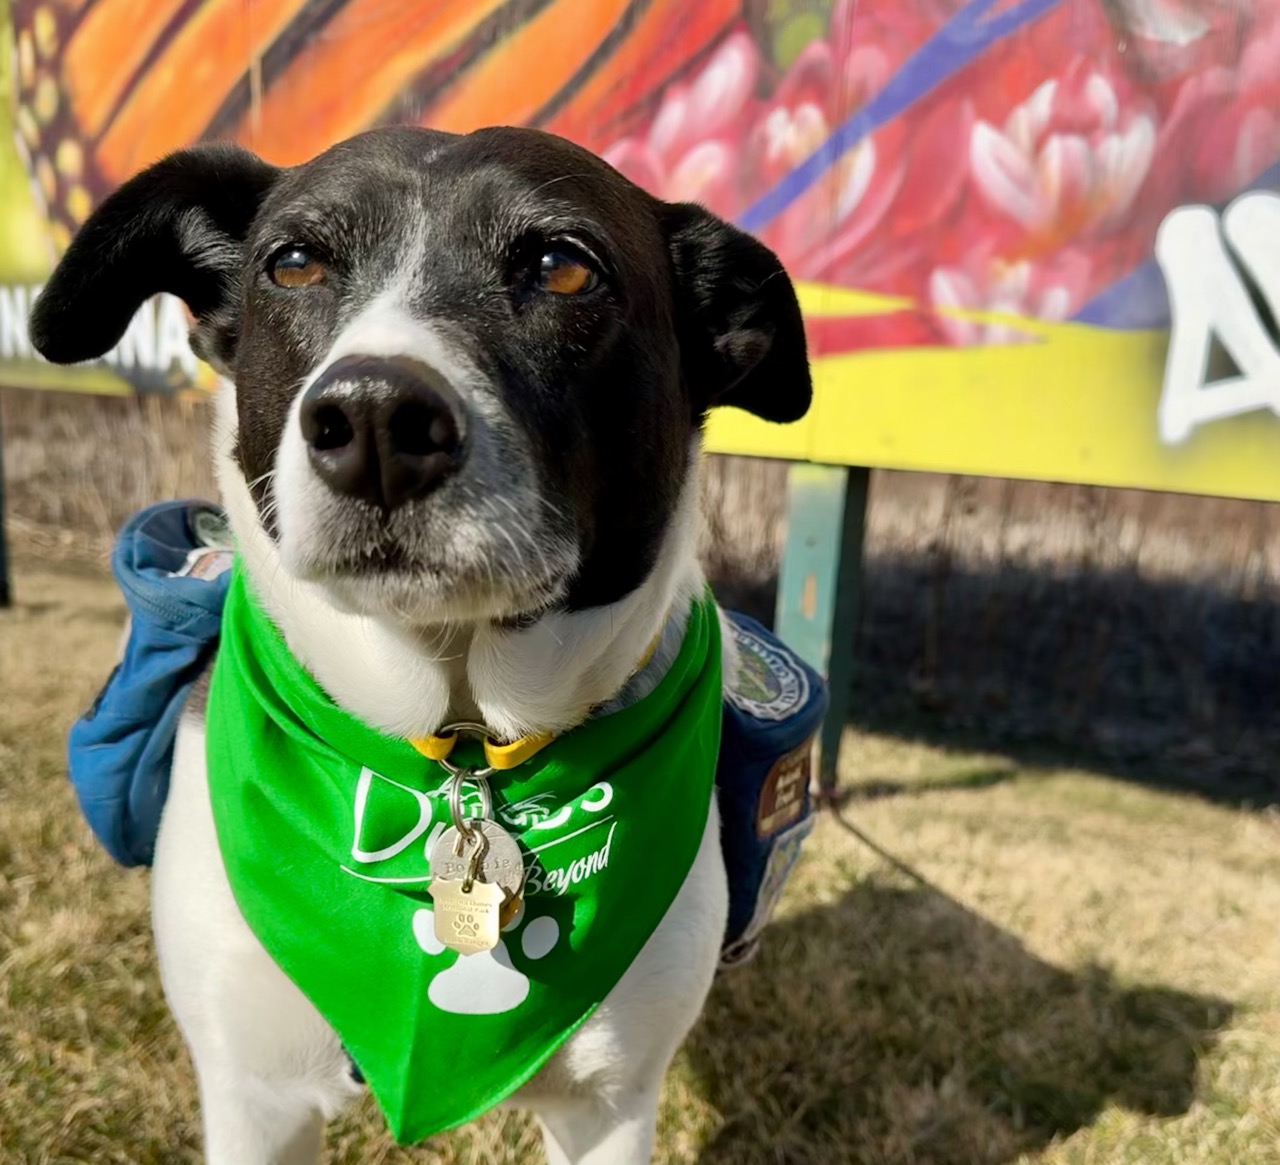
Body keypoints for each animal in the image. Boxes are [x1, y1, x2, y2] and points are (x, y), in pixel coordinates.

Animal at [32, 128, 808, 1165]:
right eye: (294, 262)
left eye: (564, 266)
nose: (373, 419)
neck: (458, 741)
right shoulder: (253, 1092)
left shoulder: (611, 1104)